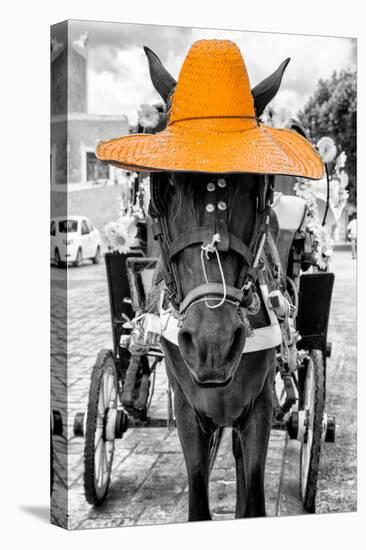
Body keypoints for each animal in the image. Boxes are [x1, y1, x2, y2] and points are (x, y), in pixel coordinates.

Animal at [140, 46, 292, 520]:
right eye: (163, 184)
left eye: (257, 186)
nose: (213, 342)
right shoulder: (189, 412)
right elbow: (198, 498)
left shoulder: (260, 408)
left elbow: (253, 498)